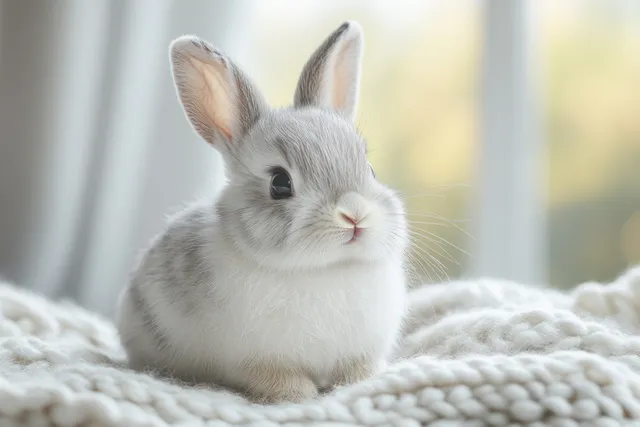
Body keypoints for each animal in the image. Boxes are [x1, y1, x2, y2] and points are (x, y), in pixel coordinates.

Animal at [116, 21, 409, 404]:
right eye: (280, 183)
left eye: (370, 169)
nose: (354, 216)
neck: (325, 269)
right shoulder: (254, 360)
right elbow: (276, 378)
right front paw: (300, 393)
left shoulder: (360, 352)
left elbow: (356, 372)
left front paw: (357, 383)